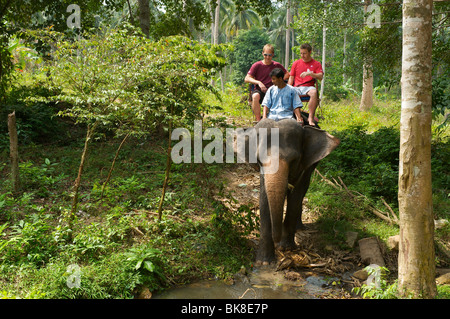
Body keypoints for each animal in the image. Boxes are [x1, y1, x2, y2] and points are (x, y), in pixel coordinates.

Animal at [234, 119, 340, 264]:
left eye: (294, 160)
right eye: (259, 161)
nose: (276, 241)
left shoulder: (303, 167)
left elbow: (296, 196)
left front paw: (286, 248)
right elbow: (264, 199)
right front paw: (264, 262)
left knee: (303, 191)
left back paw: (299, 227)